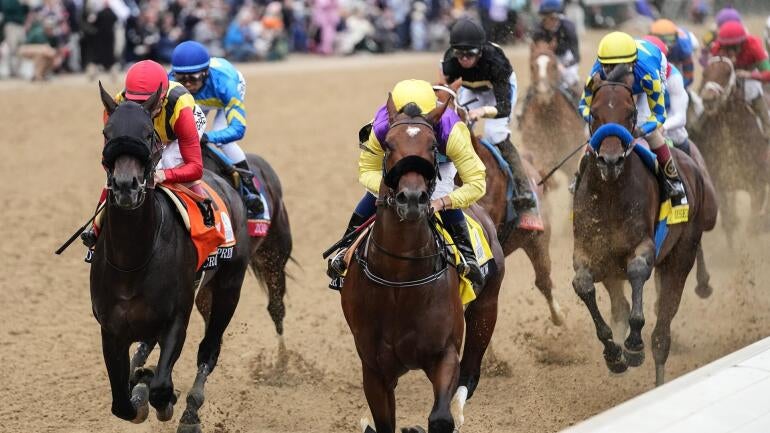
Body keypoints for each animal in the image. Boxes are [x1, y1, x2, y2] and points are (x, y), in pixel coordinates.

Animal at [92, 83, 251, 432]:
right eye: (107, 133)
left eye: (148, 133)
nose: (126, 187)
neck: (132, 259)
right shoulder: (110, 328)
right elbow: (121, 404)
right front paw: (138, 387)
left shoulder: (177, 317)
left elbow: (161, 388)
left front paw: (159, 396)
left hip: (229, 287)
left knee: (209, 350)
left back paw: (191, 410)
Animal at [341, 96, 505, 433]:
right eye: (389, 145)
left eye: (432, 146)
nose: (413, 199)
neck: (398, 277)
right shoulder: (374, 369)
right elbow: (384, 423)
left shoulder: (444, 354)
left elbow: (440, 417)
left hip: (486, 309)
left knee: (470, 374)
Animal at [571, 68, 717, 386]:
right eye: (595, 113)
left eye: (630, 114)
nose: (610, 160)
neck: (611, 195)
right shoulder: (591, 252)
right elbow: (583, 285)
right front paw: (613, 352)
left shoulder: (644, 247)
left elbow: (638, 271)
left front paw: (633, 345)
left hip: (682, 254)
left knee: (662, 333)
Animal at [693, 56, 767, 247]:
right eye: (705, 73)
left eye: (727, 73)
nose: (708, 99)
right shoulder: (721, 184)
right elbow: (729, 222)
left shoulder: (758, 187)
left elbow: (752, 226)